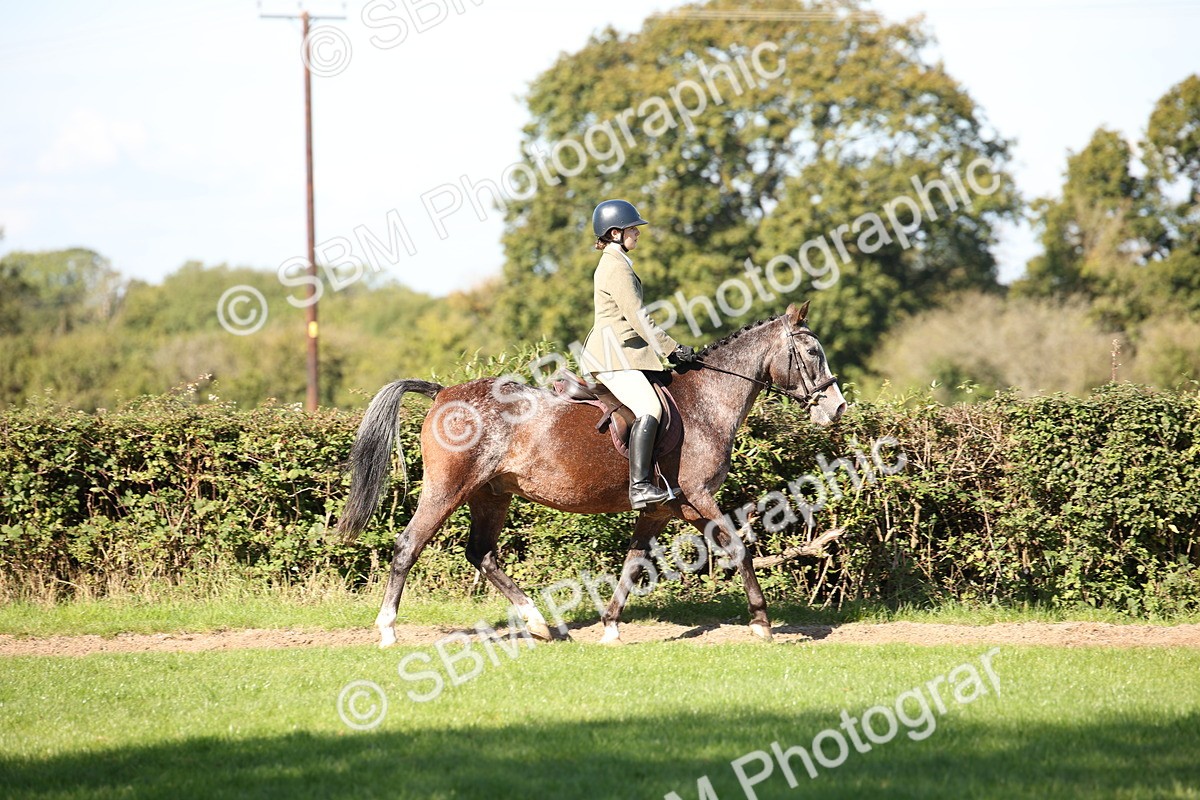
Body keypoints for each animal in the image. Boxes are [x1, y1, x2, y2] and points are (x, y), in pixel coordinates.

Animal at [337, 301, 846, 647]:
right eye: (811, 352)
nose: (836, 408)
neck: (706, 401)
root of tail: (443, 393)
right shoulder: (699, 498)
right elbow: (739, 548)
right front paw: (761, 623)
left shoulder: (663, 509)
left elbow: (634, 562)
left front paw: (611, 627)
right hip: (448, 490)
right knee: (409, 546)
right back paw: (387, 631)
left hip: (491, 494)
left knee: (481, 553)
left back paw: (540, 624)